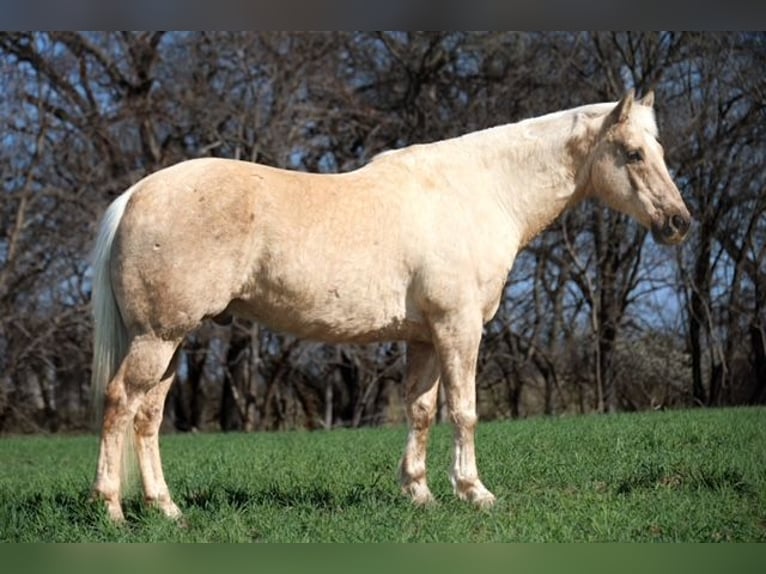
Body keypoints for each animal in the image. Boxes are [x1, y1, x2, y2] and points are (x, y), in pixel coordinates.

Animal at [90, 90, 691, 522]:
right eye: (633, 153)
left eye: (660, 151)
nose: (679, 222)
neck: (480, 193)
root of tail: (135, 196)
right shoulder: (459, 328)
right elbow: (465, 411)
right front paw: (474, 492)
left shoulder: (425, 336)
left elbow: (421, 411)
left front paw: (419, 493)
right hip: (157, 338)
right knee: (119, 403)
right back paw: (112, 508)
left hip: (173, 343)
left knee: (148, 415)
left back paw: (166, 509)